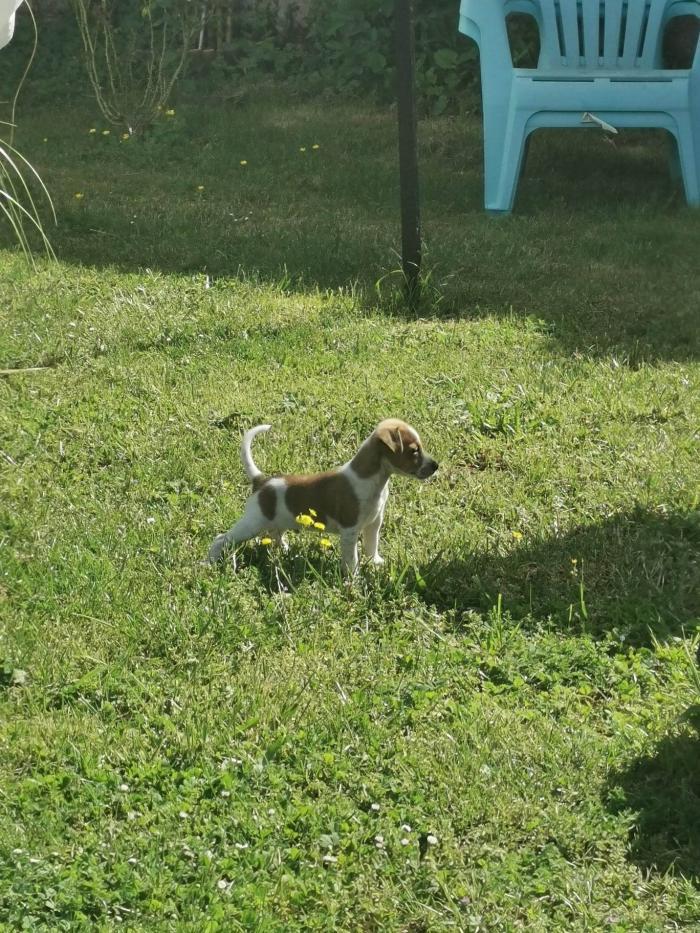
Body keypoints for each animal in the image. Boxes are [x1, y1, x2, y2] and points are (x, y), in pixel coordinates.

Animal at [206, 418, 438, 572]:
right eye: (414, 451)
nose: (436, 466)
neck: (373, 480)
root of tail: (261, 481)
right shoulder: (350, 531)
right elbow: (352, 559)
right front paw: (353, 578)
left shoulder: (374, 524)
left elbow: (372, 545)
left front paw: (375, 562)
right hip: (252, 524)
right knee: (221, 539)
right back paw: (207, 563)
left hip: (276, 521)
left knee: (276, 535)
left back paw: (287, 551)